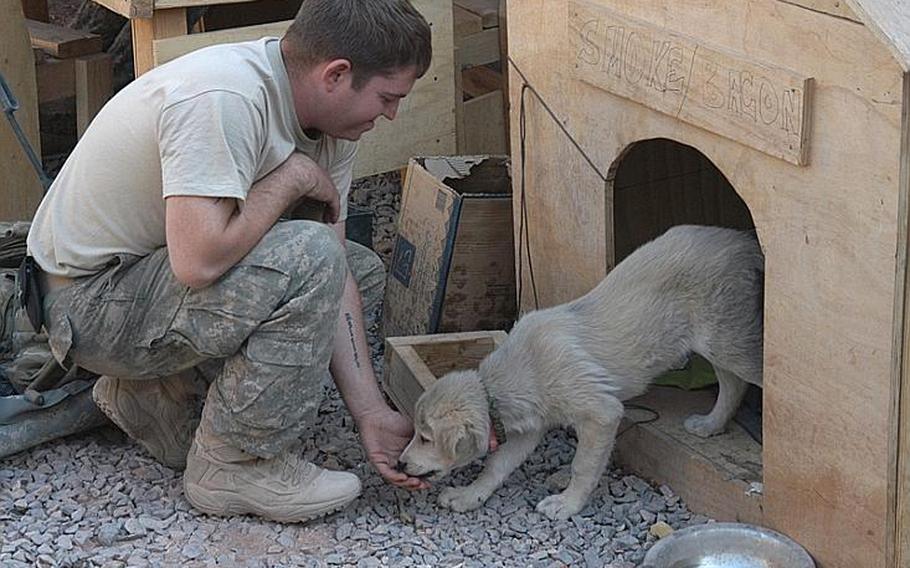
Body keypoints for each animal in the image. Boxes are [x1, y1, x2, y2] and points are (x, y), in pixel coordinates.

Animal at [402, 225, 764, 520]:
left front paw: (567, 504)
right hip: (719, 341)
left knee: (755, 377)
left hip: (727, 337)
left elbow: (583, 465)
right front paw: (469, 496)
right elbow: (497, 463)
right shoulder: (531, 427)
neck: (502, 382)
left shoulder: (601, 413)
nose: (401, 464)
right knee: (733, 384)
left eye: (426, 438)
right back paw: (711, 424)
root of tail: (742, 241)